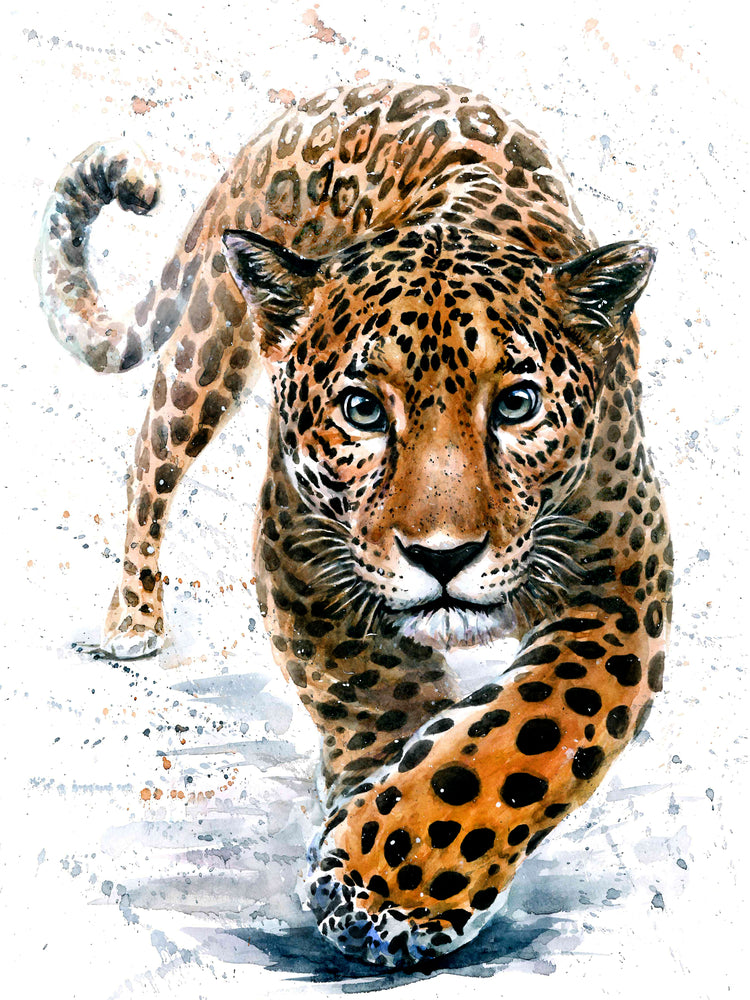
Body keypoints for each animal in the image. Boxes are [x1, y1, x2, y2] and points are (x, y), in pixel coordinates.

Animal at [36, 80, 671, 968]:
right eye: (364, 410)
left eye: (517, 404)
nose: (444, 556)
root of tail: (335, 94)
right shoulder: (301, 553)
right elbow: (375, 693)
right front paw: (380, 864)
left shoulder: (621, 583)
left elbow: (528, 731)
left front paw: (392, 882)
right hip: (208, 343)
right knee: (149, 461)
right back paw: (133, 617)